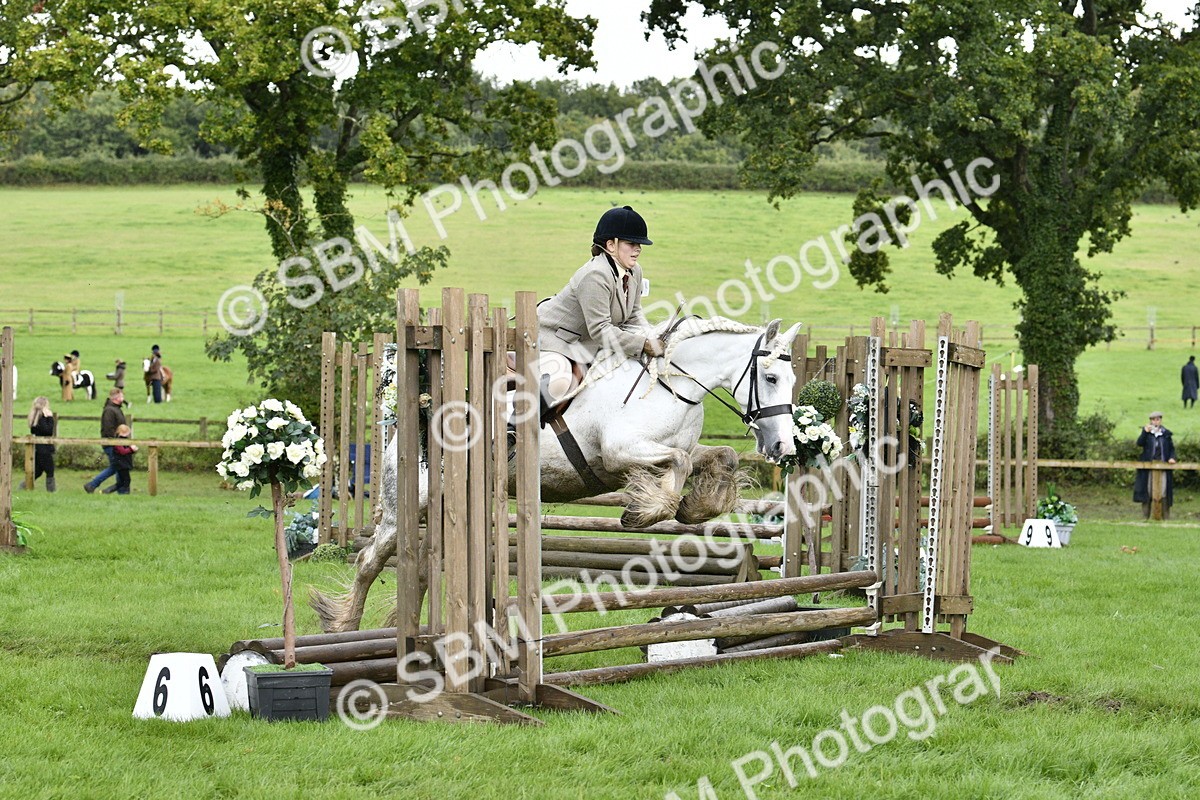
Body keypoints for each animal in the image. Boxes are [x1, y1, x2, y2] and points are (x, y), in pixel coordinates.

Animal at [311, 316, 803, 633]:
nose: (784, 448)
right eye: (772, 378)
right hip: (407, 506)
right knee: (368, 560)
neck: (670, 384)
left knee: (422, 570)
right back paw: (345, 625)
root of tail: (405, 430)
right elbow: (676, 467)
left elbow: (722, 457)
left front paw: (695, 507)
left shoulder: (680, 447)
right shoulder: (621, 451)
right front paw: (643, 512)